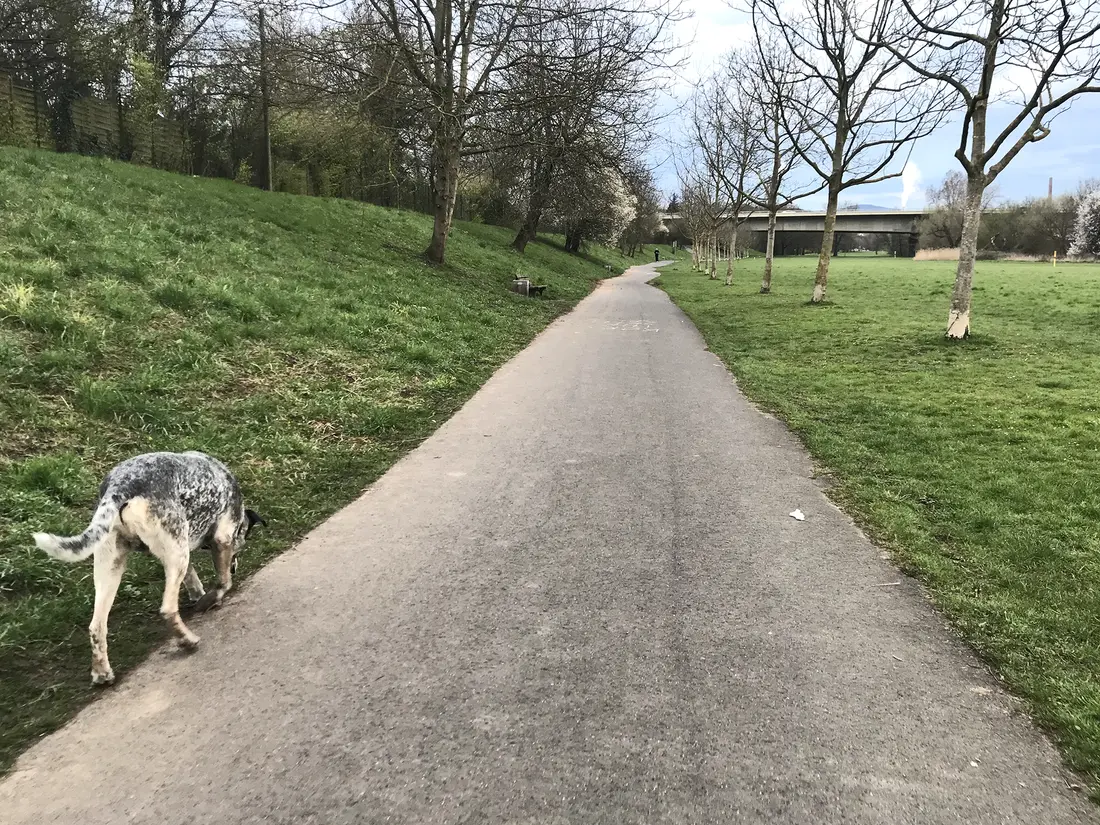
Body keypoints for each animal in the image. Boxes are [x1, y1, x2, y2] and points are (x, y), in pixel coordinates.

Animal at [35, 453, 262, 686]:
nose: (235, 566)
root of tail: (119, 488)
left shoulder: (181, 548)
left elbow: (192, 577)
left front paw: (199, 595)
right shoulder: (220, 539)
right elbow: (224, 583)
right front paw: (210, 599)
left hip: (111, 564)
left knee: (96, 625)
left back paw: (102, 673)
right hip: (173, 554)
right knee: (168, 609)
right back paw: (187, 640)